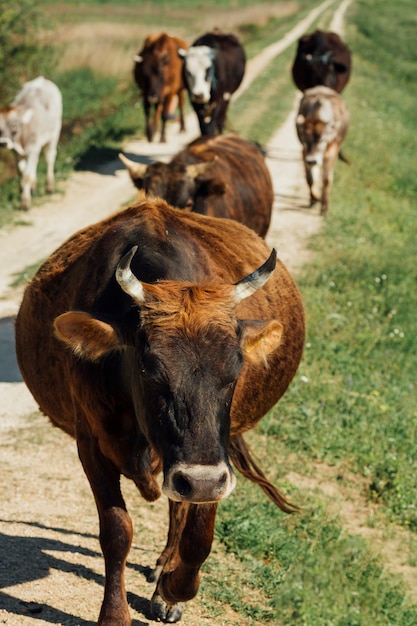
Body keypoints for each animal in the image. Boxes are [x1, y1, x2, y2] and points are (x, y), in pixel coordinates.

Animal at [0, 77, 62, 210]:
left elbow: (26, 176)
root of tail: (41, 79)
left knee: (50, 158)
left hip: (54, 132)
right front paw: (25, 190)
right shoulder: (17, 152)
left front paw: (25, 203)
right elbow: (21, 172)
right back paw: (34, 188)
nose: (3, 143)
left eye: (14, 125)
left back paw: (49, 186)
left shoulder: (33, 148)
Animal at [14, 197, 304, 620]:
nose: (200, 480)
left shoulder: (214, 460)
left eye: (235, 370)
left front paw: (174, 588)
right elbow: (117, 530)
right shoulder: (90, 443)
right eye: (150, 368)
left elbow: (199, 534)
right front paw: (114, 615)